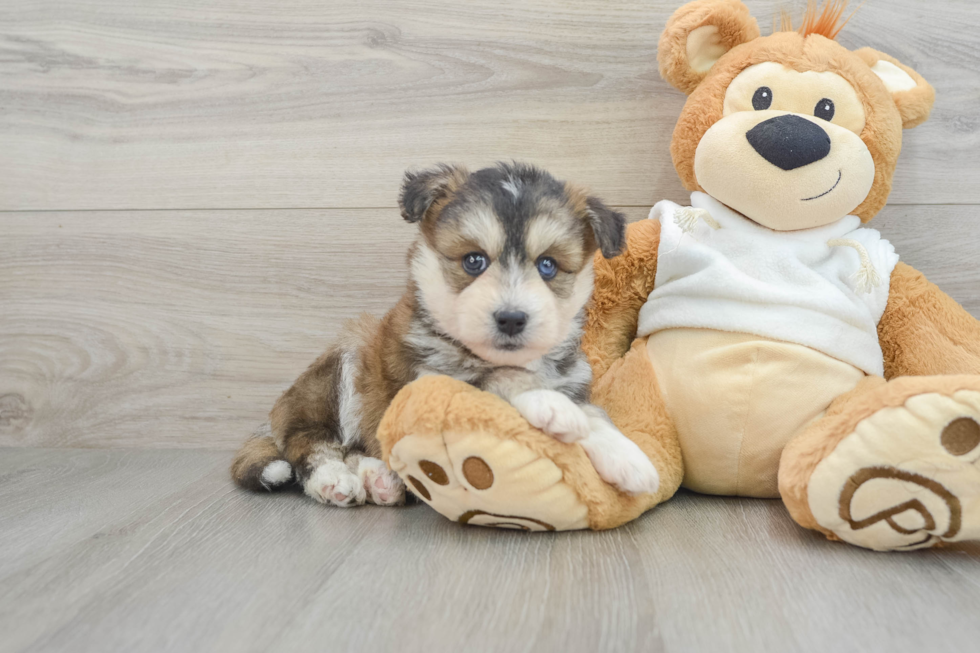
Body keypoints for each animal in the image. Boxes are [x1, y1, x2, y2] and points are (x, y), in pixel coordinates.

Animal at [232, 162, 660, 504]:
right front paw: (550, 404)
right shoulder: (427, 380)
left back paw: (379, 478)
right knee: (308, 442)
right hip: (344, 359)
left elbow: (594, 414)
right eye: (473, 261)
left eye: (548, 266)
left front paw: (627, 456)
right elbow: (497, 383)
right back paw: (333, 479)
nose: (511, 319)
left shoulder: (573, 378)